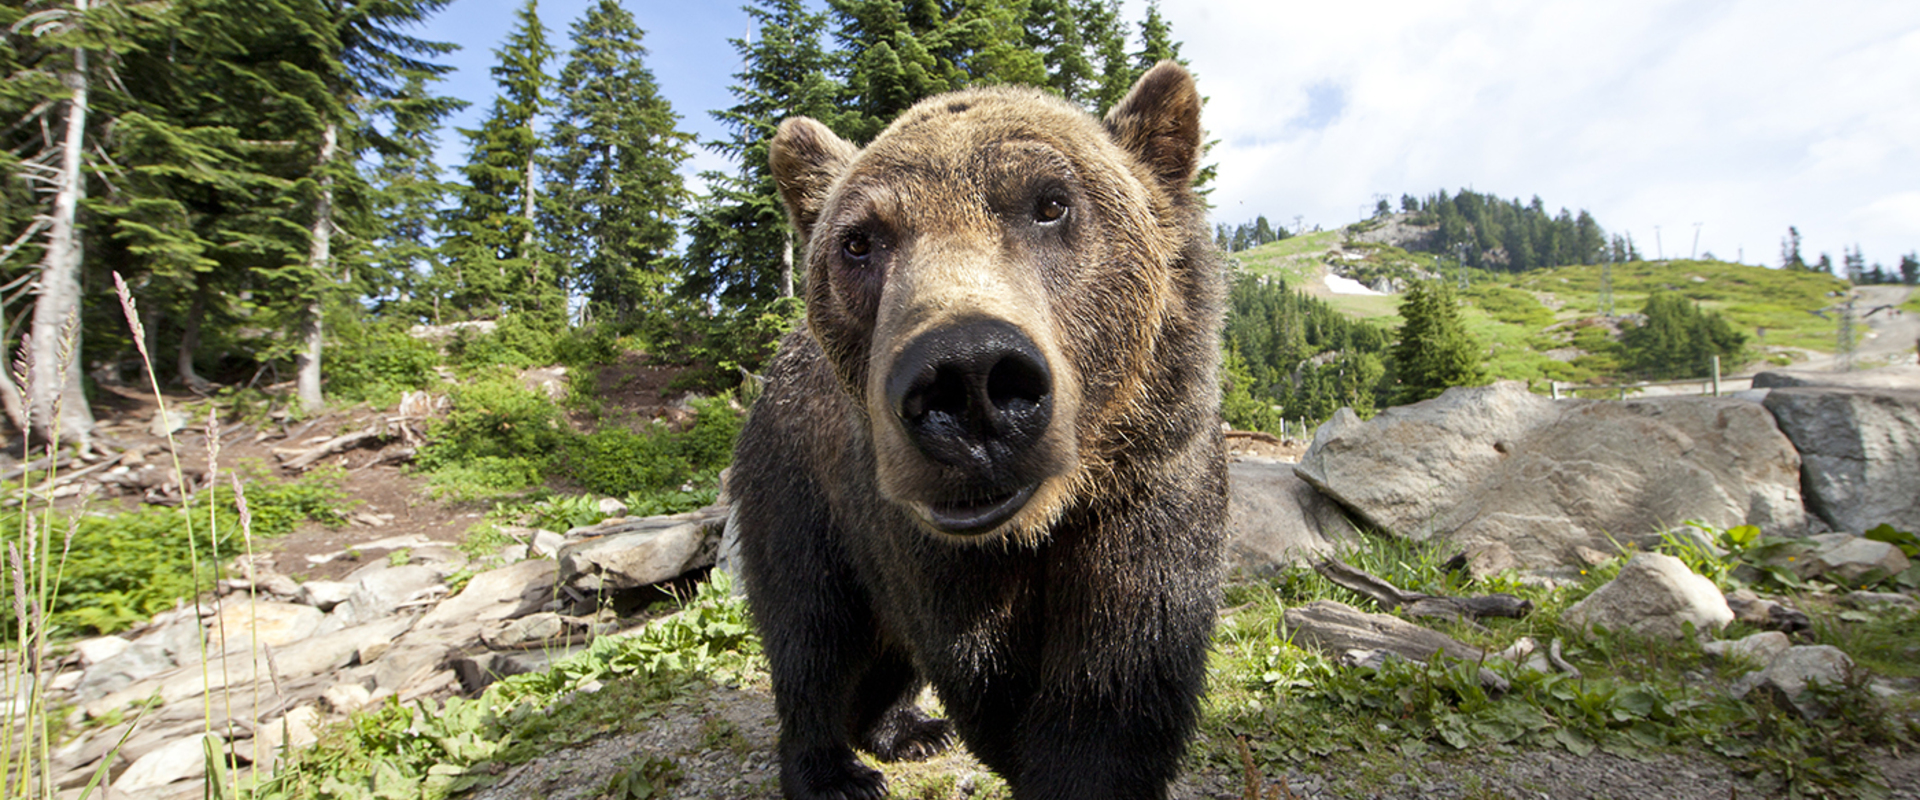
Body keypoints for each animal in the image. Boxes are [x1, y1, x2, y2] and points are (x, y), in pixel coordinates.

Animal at [731, 61, 1227, 800]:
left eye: (1051, 203)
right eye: (859, 241)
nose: (967, 379)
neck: (1039, 525)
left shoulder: (1149, 490)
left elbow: (1120, 677)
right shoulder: (917, 539)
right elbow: (980, 671)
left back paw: (907, 728)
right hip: (796, 489)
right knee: (810, 630)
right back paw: (832, 770)